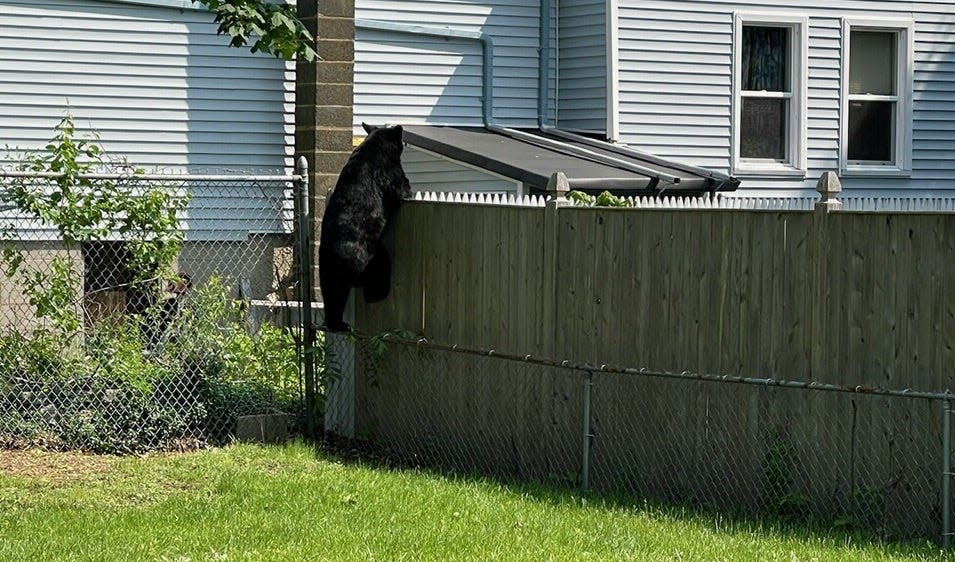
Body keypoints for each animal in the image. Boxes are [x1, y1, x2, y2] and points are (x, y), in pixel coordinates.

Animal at [322, 122, 410, 330]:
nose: (406, 141)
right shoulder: (389, 171)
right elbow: (401, 187)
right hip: (368, 256)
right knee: (380, 270)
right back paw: (377, 295)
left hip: (327, 271)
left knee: (333, 296)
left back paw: (338, 323)